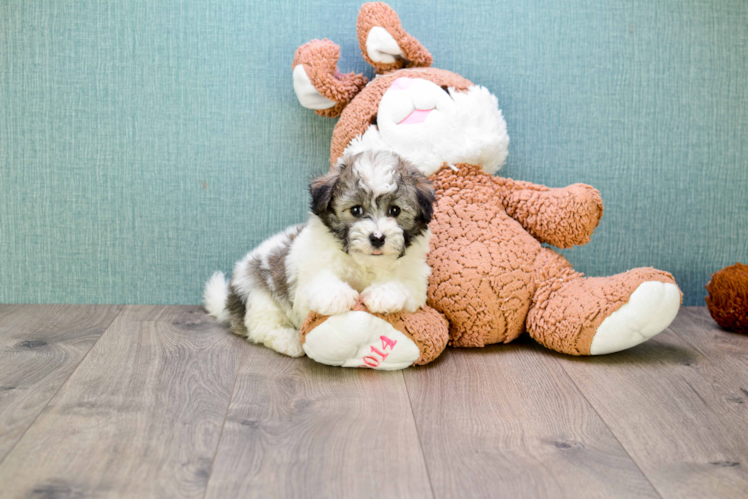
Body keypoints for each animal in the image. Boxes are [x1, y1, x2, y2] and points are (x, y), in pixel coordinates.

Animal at [205, 150, 438, 358]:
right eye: (356, 210)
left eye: (395, 211)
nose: (377, 237)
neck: (365, 265)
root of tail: (229, 299)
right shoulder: (309, 271)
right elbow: (319, 279)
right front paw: (337, 295)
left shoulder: (415, 279)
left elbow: (403, 285)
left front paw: (382, 295)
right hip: (259, 294)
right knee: (261, 327)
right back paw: (289, 340)